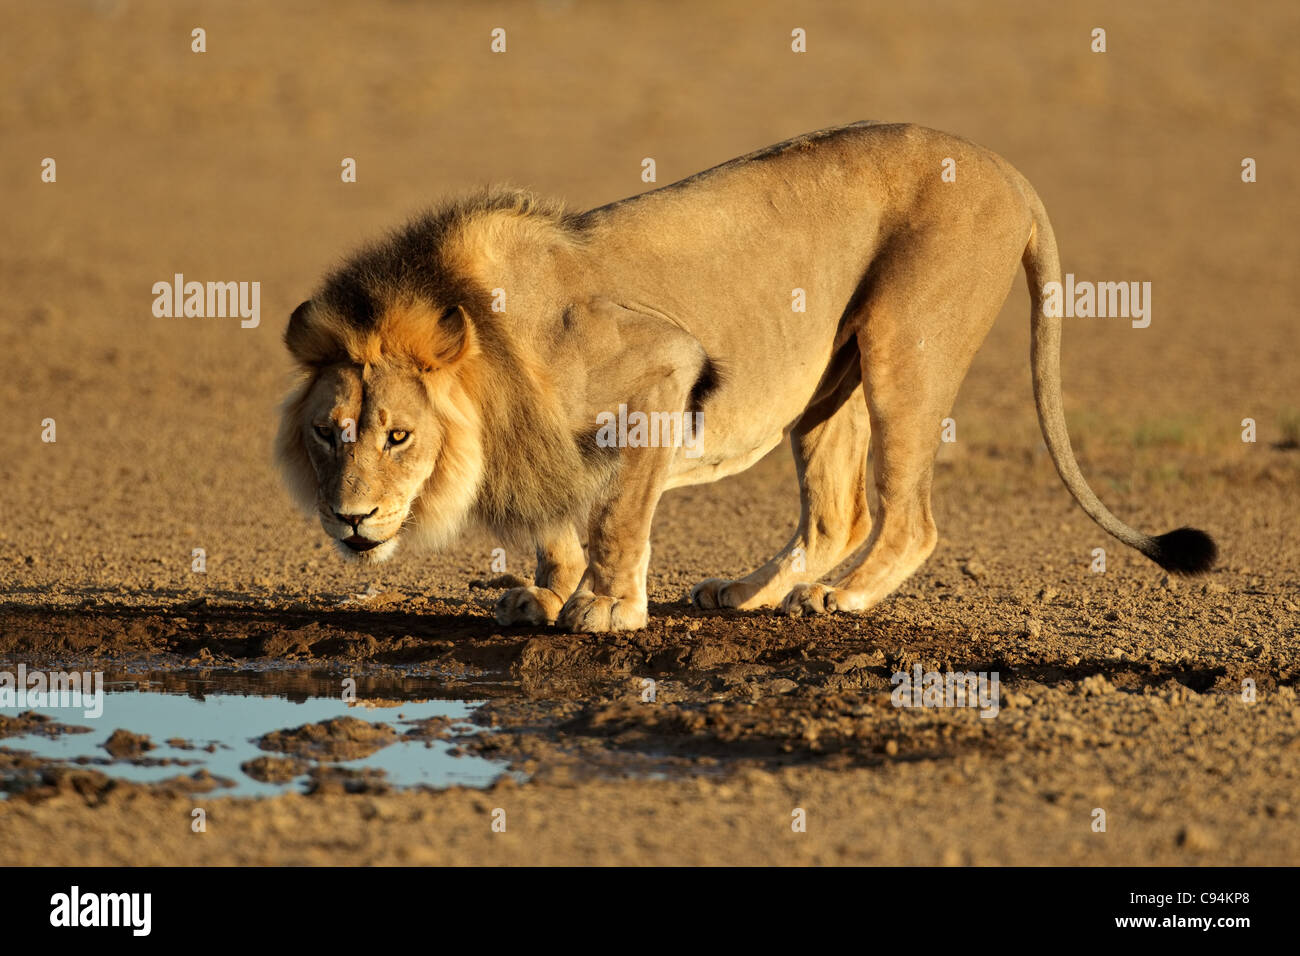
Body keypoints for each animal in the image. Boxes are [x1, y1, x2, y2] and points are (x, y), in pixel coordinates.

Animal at [276, 123, 1216, 639]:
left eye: (399, 435)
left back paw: (837, 597)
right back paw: (751, 591)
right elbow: (559, 520)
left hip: (904, 344)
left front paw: (603, 608)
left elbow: (619, 514)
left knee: (909, 518)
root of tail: (1005, 167)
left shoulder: (663, 366)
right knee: (839, 513)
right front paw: (544, 594)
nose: (349, 519)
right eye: (327, 434)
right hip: (831, 378)